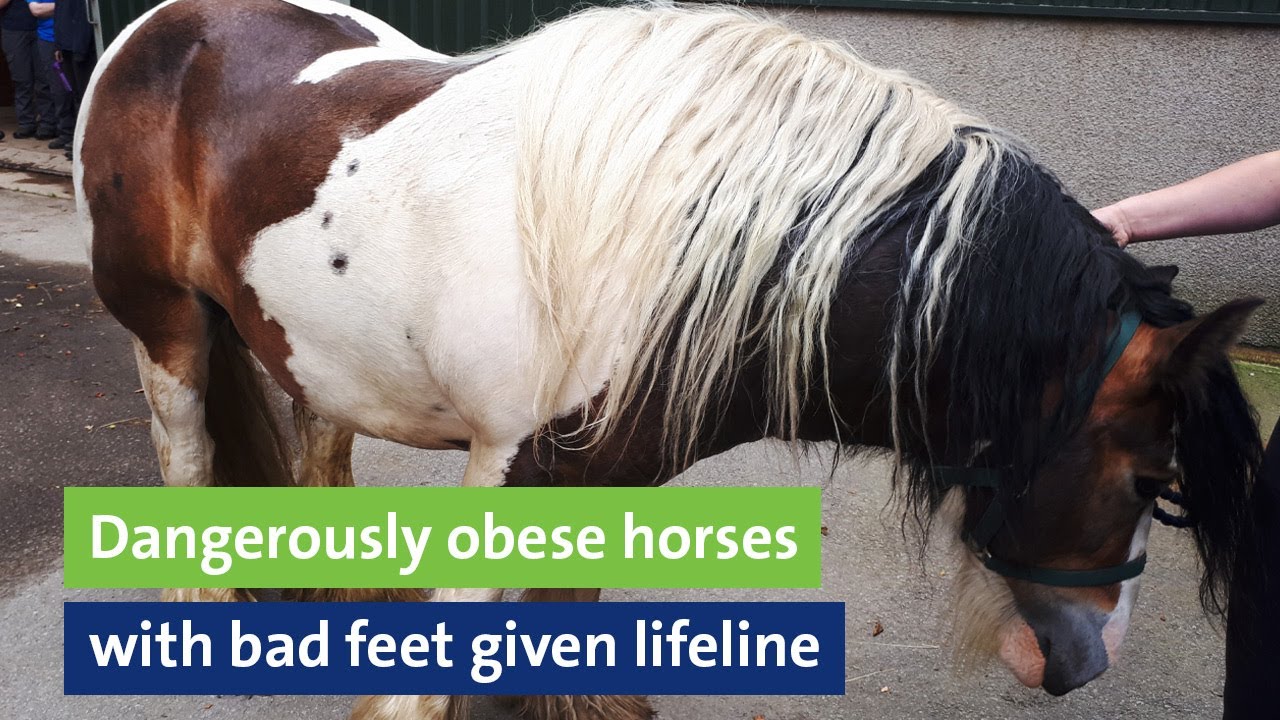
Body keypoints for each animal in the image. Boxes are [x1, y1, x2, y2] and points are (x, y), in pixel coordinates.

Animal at [76, 1, 1264, 718]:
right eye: (1148, 480)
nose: (1083, 663)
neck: (684, 254)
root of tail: (161, 29)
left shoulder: (595, 471)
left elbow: (569, 608)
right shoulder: (509, 462)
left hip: (307, 343)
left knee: (319, 437)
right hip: (165, 326)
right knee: (185, 451)